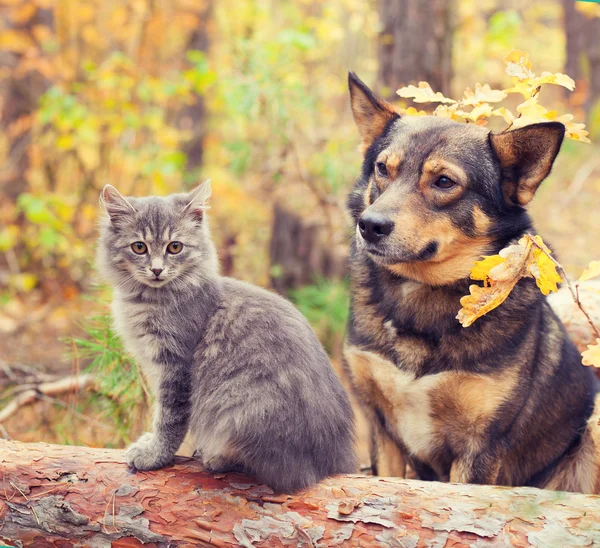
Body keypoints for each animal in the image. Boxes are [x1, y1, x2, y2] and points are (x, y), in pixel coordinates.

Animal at [96, 181, 354, 492]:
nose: (157, 269)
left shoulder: (175, 366)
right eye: (139, 247)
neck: (150, 299)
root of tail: (333, 463)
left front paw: (155, 455)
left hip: (240, 407)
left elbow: (169, 418)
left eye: (174, 247)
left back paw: (216, 458)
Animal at [342, 71, 600, 492]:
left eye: (445, 181)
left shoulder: (479, 448)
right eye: (382, 168)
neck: (421, 292)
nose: (370, 226)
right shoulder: (384, 430)